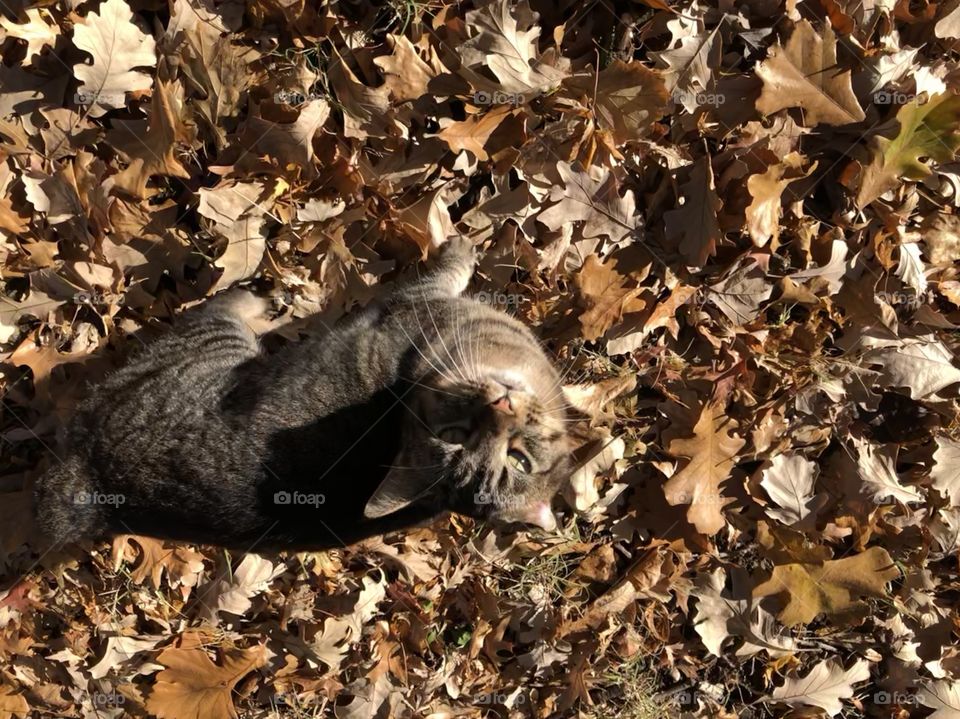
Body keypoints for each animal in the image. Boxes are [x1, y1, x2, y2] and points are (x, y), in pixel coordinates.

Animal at [35, 240, 576, 552]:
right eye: (455, 434)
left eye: (518, 459)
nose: (502, 406)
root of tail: (94, 479)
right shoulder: (414, 300)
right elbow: (449, 268)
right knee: (224, 303)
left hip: (216, 341)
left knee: (224, 305)